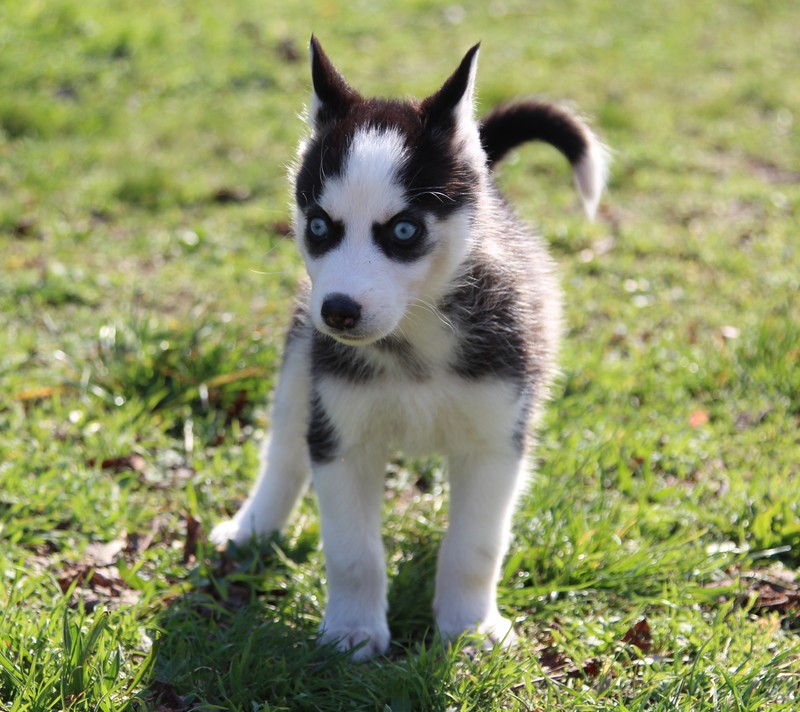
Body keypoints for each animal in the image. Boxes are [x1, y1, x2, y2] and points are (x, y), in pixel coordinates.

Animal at [212, 36, 608, 660]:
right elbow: (352, 552)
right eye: (318, 226)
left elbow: (475, 546)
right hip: (301, 366)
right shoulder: (342, 438)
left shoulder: (496, 441)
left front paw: (469, 627)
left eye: (403, 231)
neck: (415, 342)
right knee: (284, 449)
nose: (338, 311)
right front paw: (352, 632)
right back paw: (254, 525)